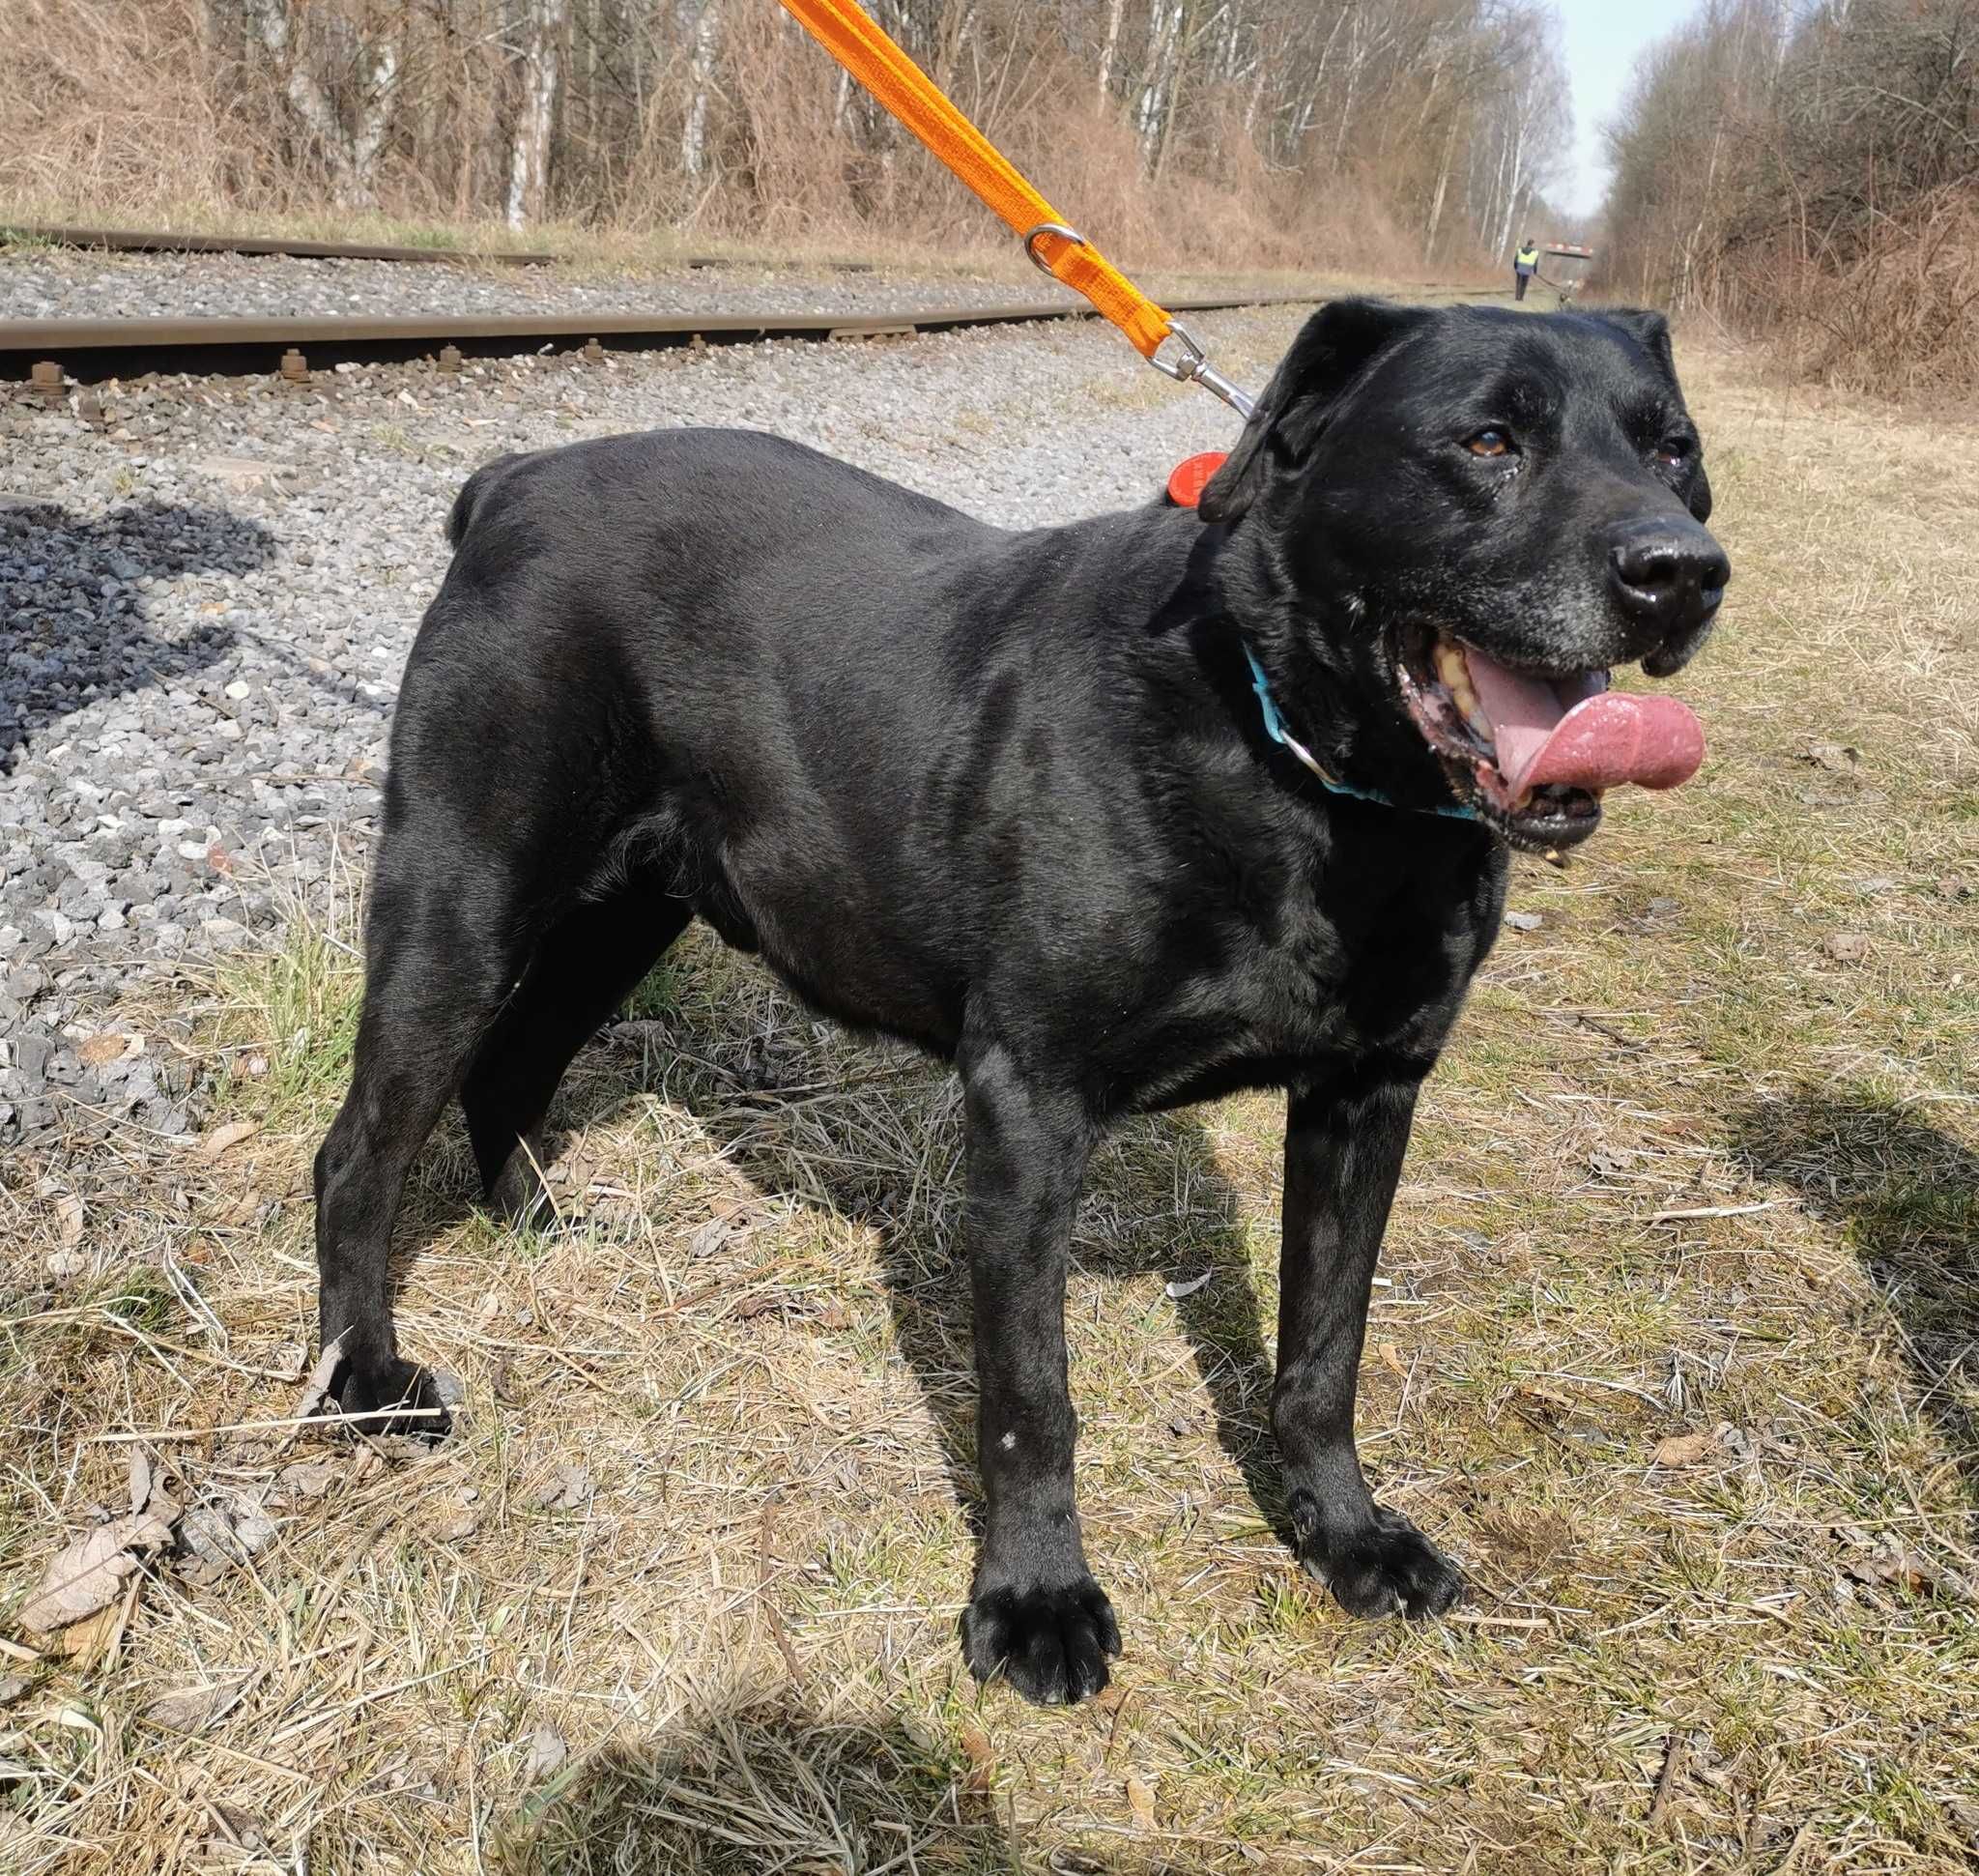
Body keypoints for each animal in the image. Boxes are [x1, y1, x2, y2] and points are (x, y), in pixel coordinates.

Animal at [316, 297, 1725, 1701]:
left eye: (1674, 450)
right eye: (1487, 439)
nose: (1682, 570)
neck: (1299, 772)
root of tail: (511, 484)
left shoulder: (1366, 1094)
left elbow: (1326, 1347)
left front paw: (1347, 1535)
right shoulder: (1029, 1103)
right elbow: (1029, 1395)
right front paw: (1036, 1601)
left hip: (628, 909)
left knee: (514, 1062)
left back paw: (538, 1225)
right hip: (462, 894)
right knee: (358, 1150)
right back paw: (365, 1380)